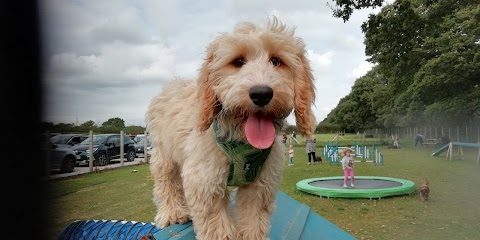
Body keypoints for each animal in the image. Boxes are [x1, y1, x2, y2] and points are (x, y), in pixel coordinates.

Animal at [148, 17, 316, 240]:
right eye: (238, 62)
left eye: (276, 61)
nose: (261, 94)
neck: (242, 142)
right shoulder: (205, 181)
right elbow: (216, 225)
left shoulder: (259, 186)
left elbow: (253, 221)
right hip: (163, 153)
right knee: (166, 181)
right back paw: (173, 212)